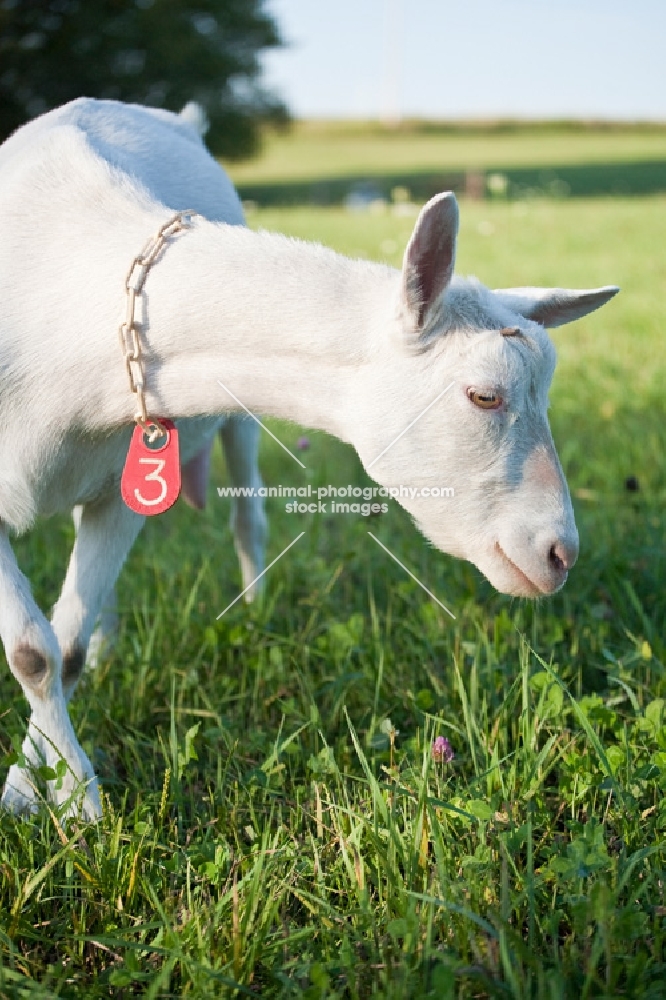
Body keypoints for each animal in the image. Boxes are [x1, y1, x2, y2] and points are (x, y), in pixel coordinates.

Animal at [0, 95, 616, 820]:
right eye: (484, 395)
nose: (560, 554)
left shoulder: (130, 478)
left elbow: (59, 649)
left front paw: (58, 792)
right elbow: (35, 652)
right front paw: (53, 794)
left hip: (227, 420)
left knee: (246, 520)